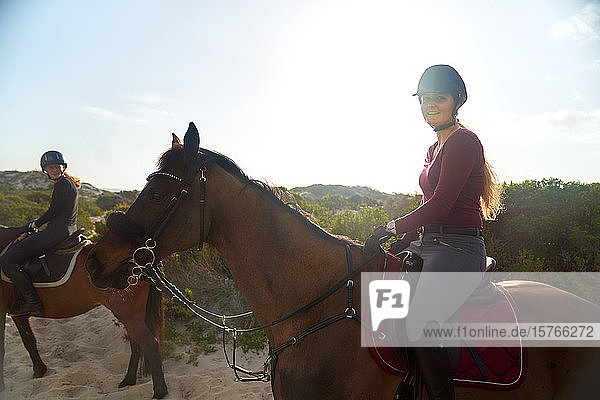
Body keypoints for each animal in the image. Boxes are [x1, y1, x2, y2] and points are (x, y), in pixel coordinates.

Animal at [1, 227, 169, 398]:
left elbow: (3, 349)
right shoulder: (18, 315)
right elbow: (29, 341)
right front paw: (39, 371)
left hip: (129, 315)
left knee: (149, 344)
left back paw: (159, 391)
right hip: (130, 316)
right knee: (136, 344)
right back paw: (128, 380)